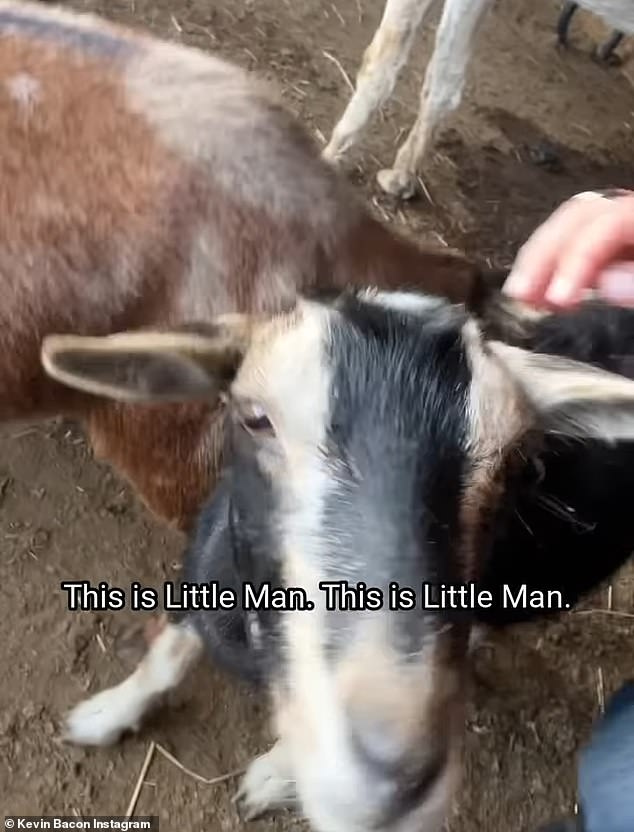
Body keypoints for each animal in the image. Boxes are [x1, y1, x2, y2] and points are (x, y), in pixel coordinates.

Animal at [42, 288, 632, 832]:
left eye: (515, 460)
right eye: (255, 417)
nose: (392, 781)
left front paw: (275, 774)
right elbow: (164, 656)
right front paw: (103, 715)